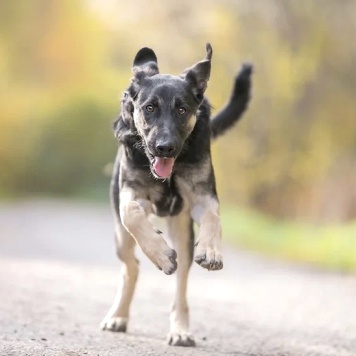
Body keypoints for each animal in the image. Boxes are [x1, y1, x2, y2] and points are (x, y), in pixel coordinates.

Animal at [101, 43, 253, 346]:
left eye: (182, 110)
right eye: (149, 108)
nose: (165, 147)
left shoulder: (203, 196)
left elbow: (213, 218)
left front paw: (211, 250)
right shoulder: (131, 196)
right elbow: (133, 214)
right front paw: (159, 253)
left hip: (182, 233)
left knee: (180, 283)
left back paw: (180, 330)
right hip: (121, 238)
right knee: (131, 266)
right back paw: (119, 315)